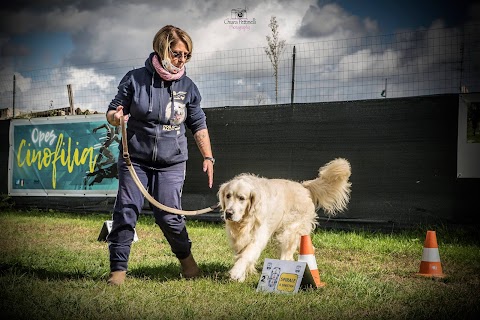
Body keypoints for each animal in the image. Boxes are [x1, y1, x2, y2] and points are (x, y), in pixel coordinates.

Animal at [219, 159, 350, 282]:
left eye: (241, 198)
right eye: (228, 196)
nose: (228, 213)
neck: (246, 219)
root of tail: (303, 186)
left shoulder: (258, 237)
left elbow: (247, 254)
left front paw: (236, 272)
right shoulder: (239, 238)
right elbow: (240, 254)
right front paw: (241, 276)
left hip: (290, 231)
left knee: (287, 254)